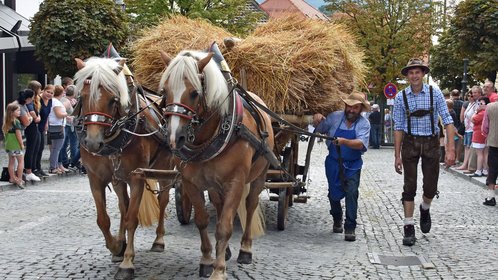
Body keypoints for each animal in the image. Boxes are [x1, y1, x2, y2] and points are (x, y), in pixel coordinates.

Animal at [73, 57, 176, 280]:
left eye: (113, 99)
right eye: (82, 97)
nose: (93, 142)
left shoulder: (136, 177)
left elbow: (131, 219)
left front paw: (127, 262)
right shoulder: (96, 178)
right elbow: (104, 219)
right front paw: (116, 247)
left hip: (165, 168)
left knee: (162, 200)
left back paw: (159, 240)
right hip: (118, 179)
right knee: (123, 205)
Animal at [160, 50, 276, 280]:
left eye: (194, 93)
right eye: (165, 91)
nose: (175, 138)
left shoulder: (236, 182)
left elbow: (224, 226)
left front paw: (219, 270)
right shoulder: (190, 182)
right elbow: (203, 220)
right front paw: (207, 260)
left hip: (258, 176)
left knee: (250, 205)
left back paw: (245, 249)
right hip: (214, 184)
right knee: (219, 205)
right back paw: (227, 250)